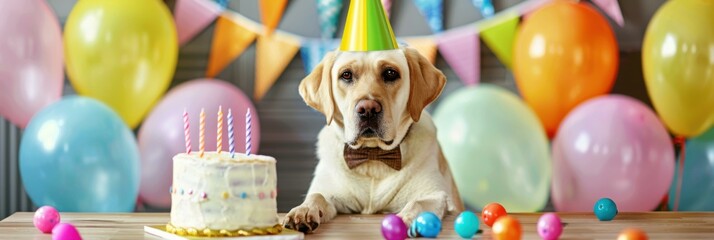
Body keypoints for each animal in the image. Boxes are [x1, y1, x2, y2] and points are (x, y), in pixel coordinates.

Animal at [280, 46, 464, 233]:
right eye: (346, 75)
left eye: (390, 73)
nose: (367, 109)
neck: (372, 155)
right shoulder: (330, 193)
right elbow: (316, 195)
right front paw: (303, 210)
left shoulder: (436, 194)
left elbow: (418, 203)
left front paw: (404, 220)